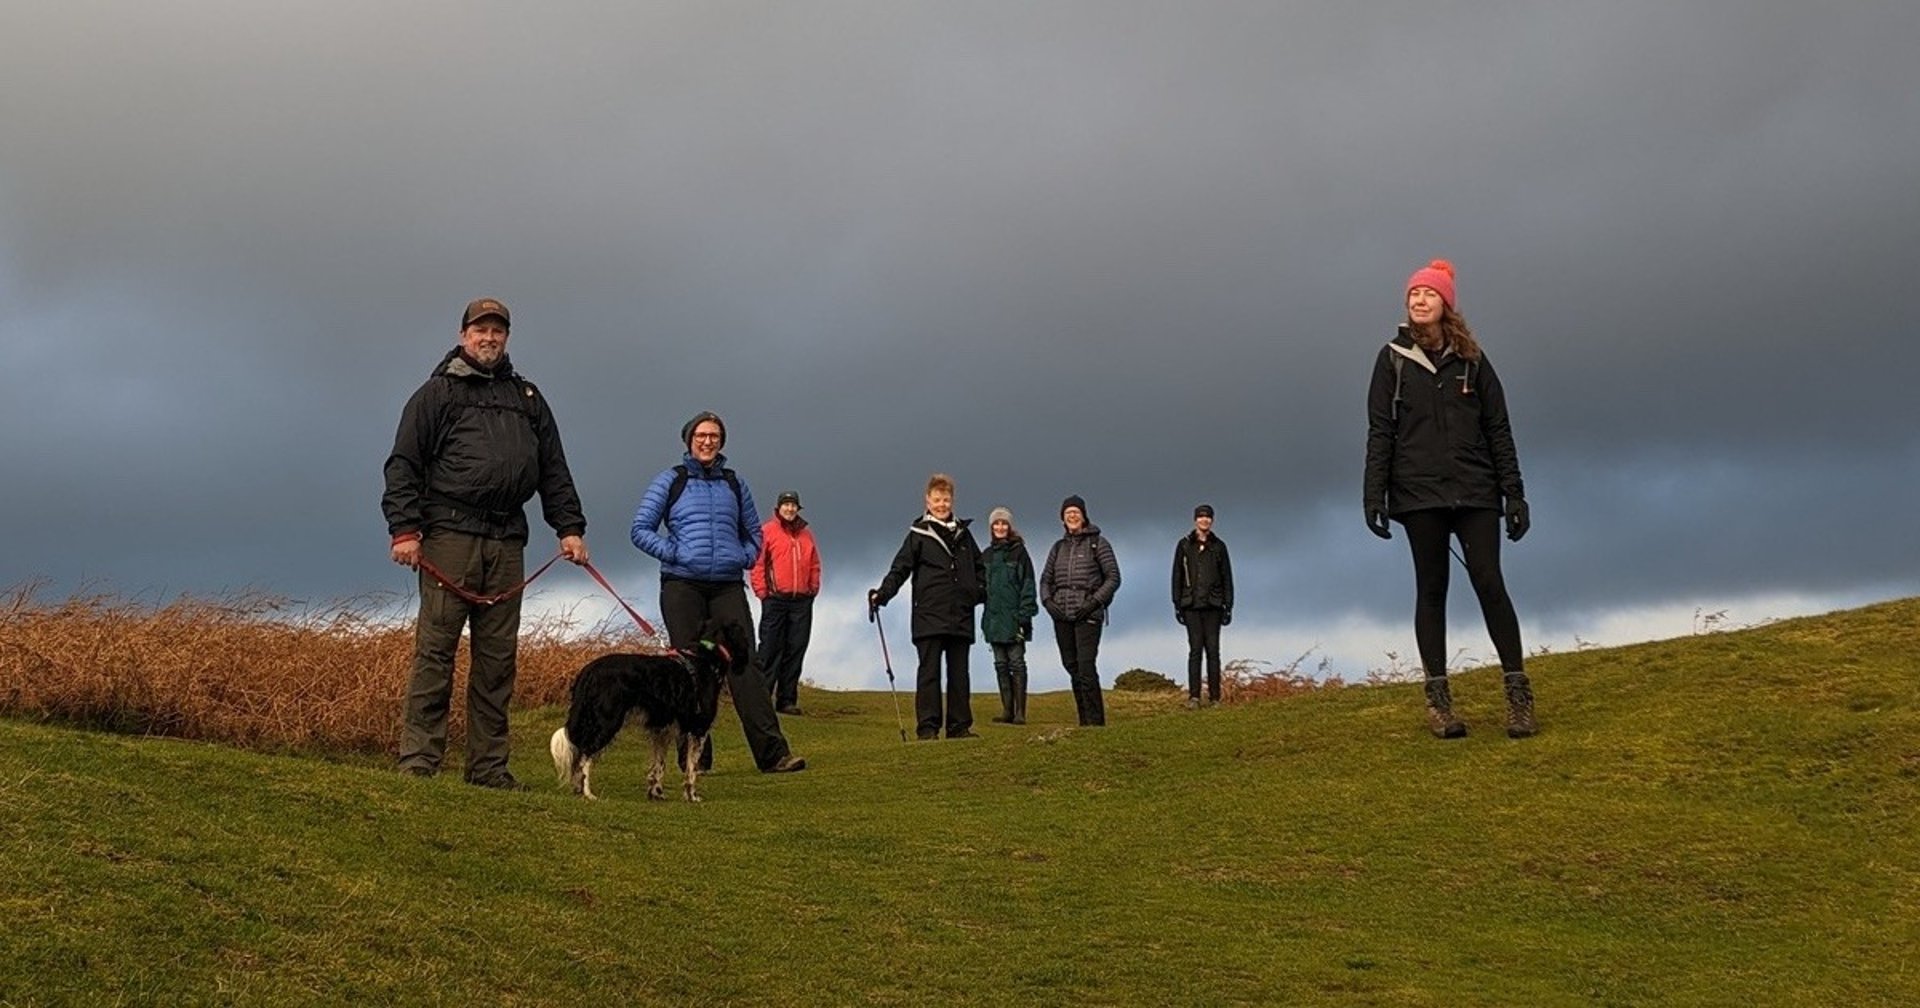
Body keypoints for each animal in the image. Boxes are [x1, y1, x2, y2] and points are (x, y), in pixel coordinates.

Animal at [549, 641, 725, 798]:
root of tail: (589, 670)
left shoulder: (661, 730)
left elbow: (659, 764)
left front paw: (656, 792)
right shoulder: (699, 728)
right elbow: (691, 769)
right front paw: (692, 796)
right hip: (607, 721)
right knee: (585, 755)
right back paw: (588, 794)